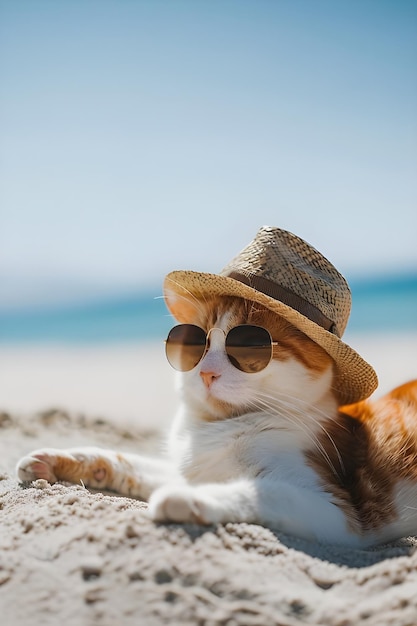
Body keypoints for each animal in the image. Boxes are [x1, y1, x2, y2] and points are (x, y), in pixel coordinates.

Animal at [16, 294, 416, 544]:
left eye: (250, 346)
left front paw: (188, 499)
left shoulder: (339, 511)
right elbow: (124, 460)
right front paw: (63, 459)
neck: (217, 428)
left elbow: (261, 492)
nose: (207, 372)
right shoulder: (186, 467)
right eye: (197, 343)